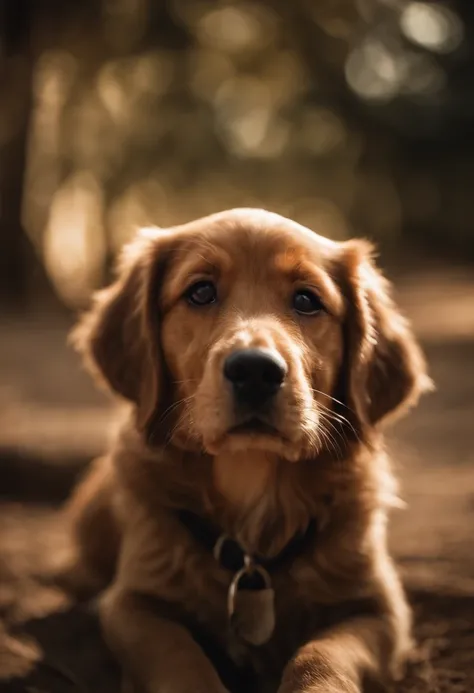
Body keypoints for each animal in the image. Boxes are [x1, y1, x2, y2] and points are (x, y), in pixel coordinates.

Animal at [61, 208, 432, 692]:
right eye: (200, 292)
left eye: (307, 300)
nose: (255, 370)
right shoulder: (131, 605)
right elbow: (180, 657)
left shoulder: (381, 608)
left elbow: (322, 653)